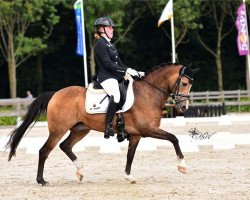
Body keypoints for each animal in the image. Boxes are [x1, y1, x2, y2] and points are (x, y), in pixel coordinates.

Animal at [5, 63, 199, 186]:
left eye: (190, 84)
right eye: (183, 83)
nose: (183, 107)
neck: (148, 94)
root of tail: (55, 94)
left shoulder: (136, 134)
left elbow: (130, 156)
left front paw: (129, 177)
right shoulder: (147, 130)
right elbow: (174, 138)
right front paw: (182, 165)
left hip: (80, 129)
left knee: (65, 146)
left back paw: (81, 171)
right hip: (57, 130)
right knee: (45, 150)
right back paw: (42, 180)